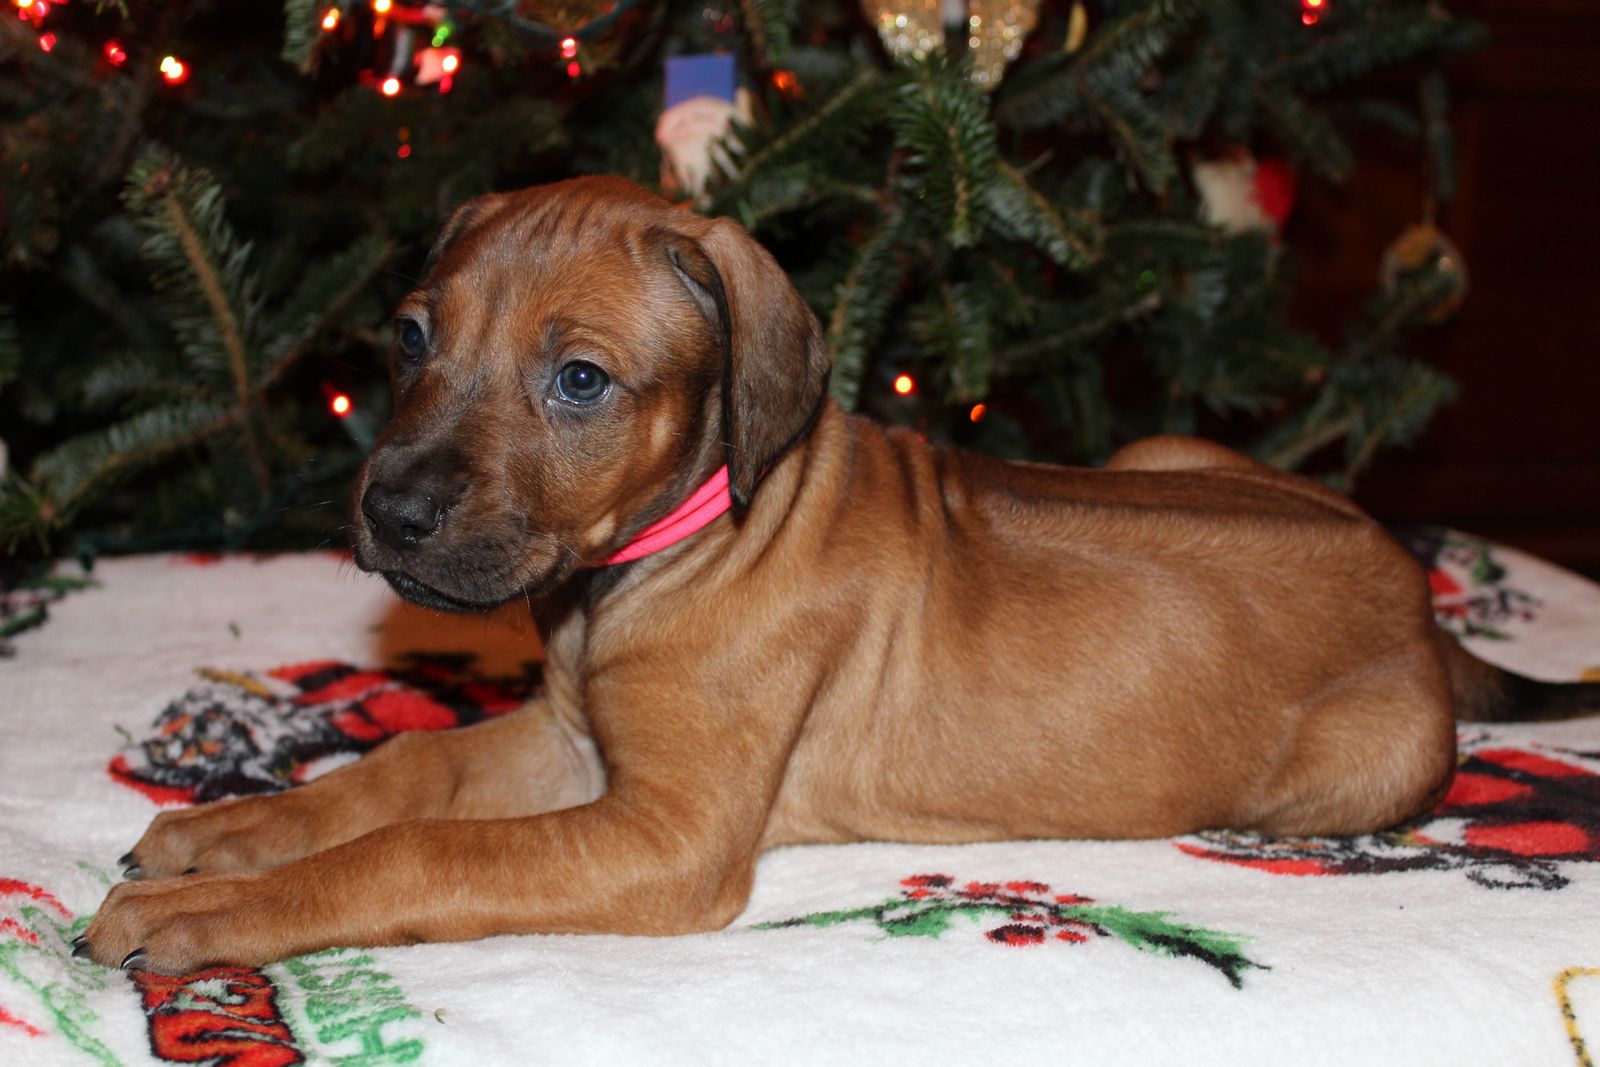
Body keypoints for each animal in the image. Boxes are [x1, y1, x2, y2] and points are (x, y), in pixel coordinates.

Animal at [80, 176, 1593, 974]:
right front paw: (231, 834)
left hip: (1346, 778)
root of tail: (1413, 588)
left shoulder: (668, 833)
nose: (387, 512)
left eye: (581, 380)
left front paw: (209, 913)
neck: (672, 546)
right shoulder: (571, 745)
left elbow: (419, 850)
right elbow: (399, 776)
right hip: (1165, 447)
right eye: (409, 337)